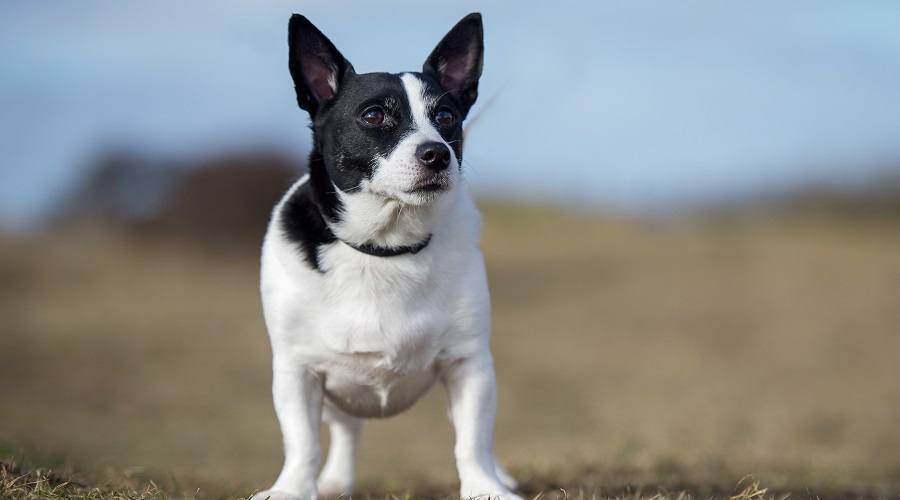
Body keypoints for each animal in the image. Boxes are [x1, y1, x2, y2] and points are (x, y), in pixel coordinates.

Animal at [251, 13, 520, 498]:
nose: (437, 153)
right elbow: (302, 442)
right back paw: (335, 482)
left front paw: (484, 487)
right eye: (374, 115)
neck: (385, 247)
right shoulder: (297, 372)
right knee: (345, 429)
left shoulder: (469, 365)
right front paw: (292, 489)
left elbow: (472, 440)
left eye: (446, 117)